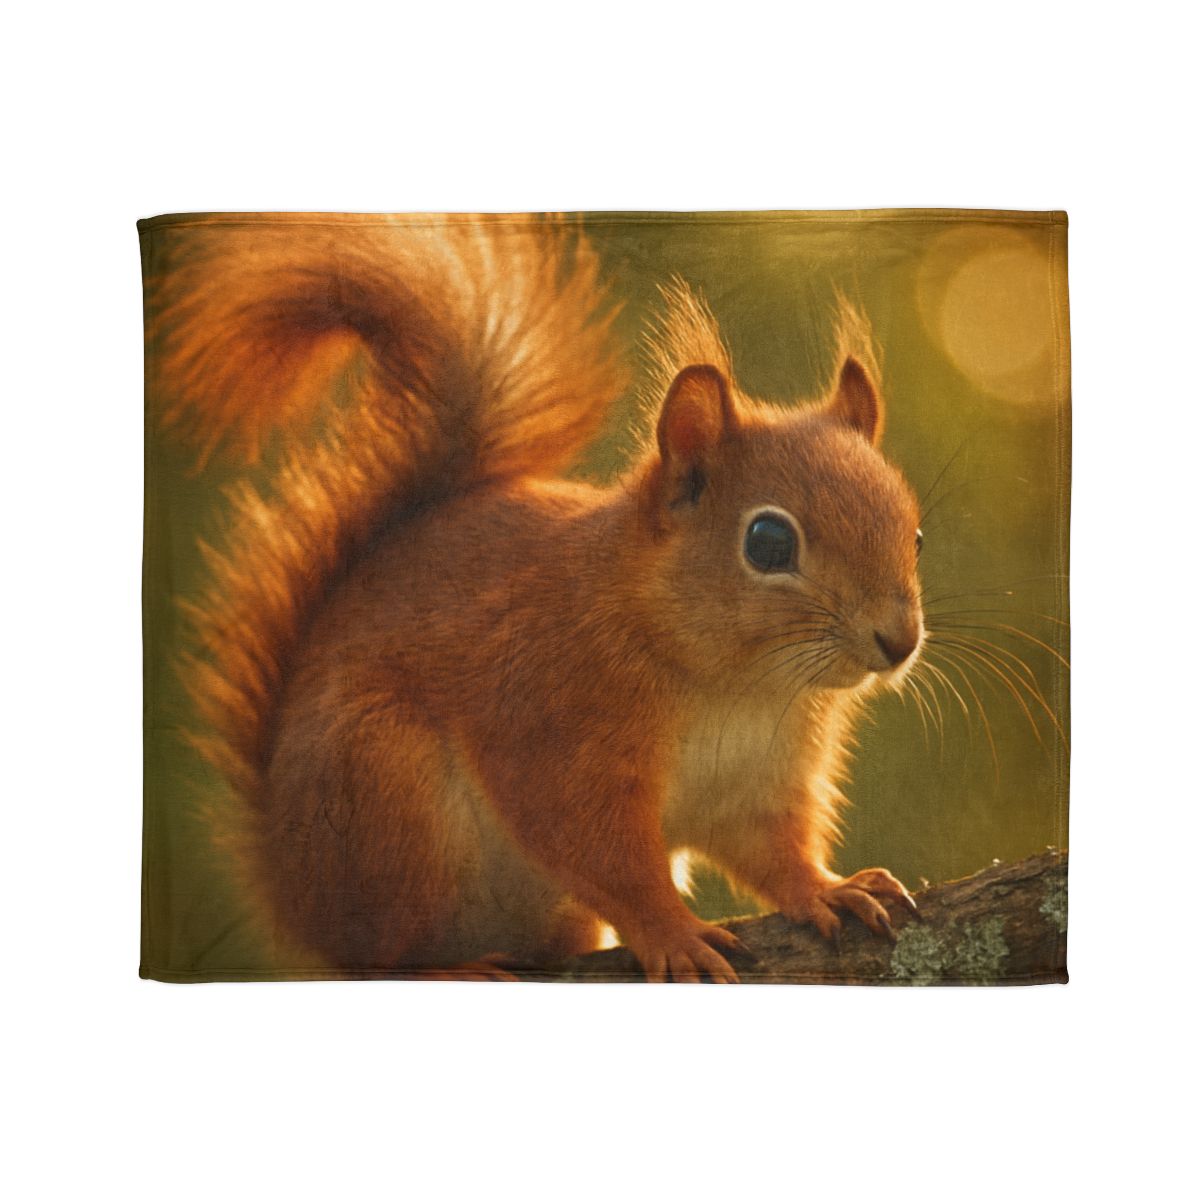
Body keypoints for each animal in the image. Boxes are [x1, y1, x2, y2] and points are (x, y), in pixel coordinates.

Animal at [143, 213, 926, 982]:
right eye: (767, 542)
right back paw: (451, 971)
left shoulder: (759, 783)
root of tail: (291, 891)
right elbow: (605, 857)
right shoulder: (551, 725)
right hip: (384, 795)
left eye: (915, 533)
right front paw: (674, 933)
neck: (735, 685)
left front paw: (827, 889)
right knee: (376, 955)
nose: (899, 640)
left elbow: (772, 851)